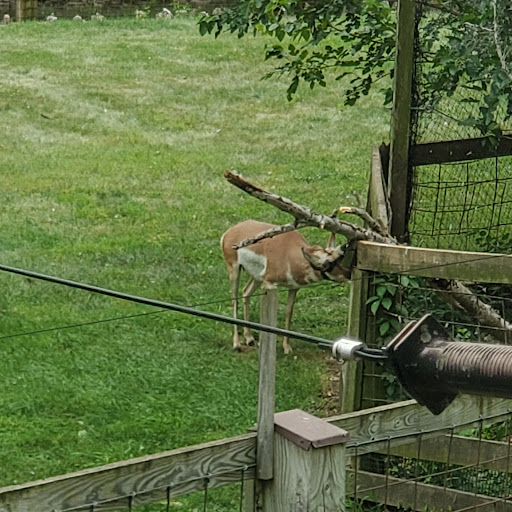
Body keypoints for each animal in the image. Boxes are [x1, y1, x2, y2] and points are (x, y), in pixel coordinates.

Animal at [221, 218, 352, 354]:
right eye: (328, 263)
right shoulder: (269, 283)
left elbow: (288, 312)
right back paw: (237, 344)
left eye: (342, 257)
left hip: (257, 278)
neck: (290, 254)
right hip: (234, 270)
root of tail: (230, 231)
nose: (349, 274)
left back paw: (249, 338)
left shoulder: (293, 288)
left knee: (246, 292)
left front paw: (287, 347)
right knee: (234, 300)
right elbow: (270, 312)